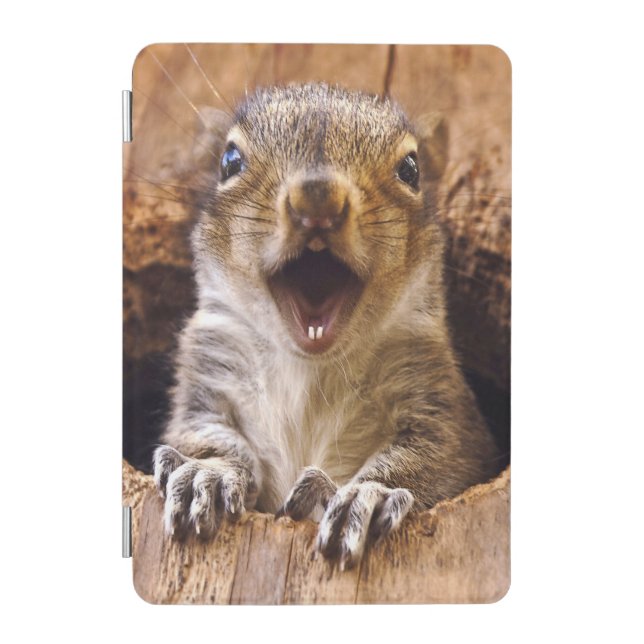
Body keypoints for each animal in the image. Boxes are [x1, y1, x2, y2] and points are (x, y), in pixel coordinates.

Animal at [153, 83, 499, 569]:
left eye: (411, 169)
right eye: (229, 161)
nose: (317, 197)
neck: (310, 367)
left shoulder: (438, 400)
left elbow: (435, 456)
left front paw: (368, 495)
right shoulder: (207, 373)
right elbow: (203, 434)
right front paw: (207, 473)